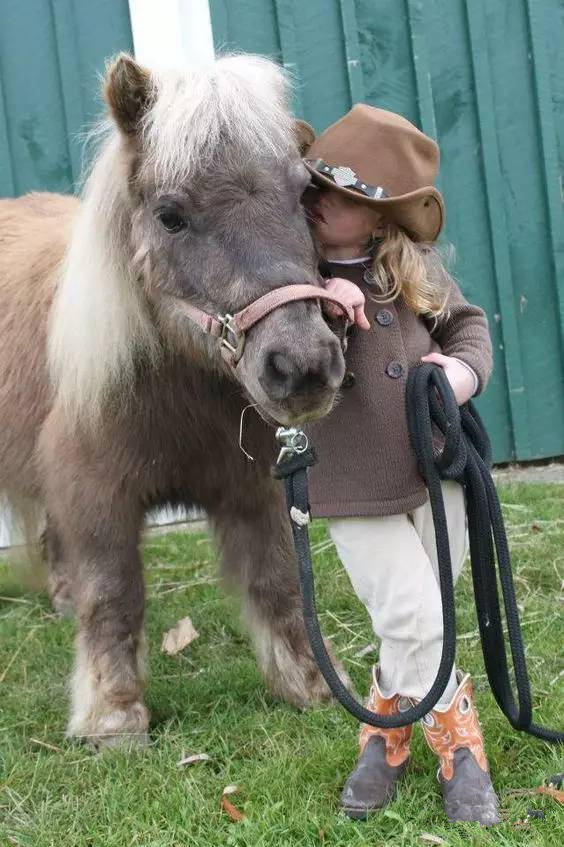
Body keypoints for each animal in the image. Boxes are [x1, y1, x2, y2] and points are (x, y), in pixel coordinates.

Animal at [0, 53, 353, 747]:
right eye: (170, 215)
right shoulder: (95, 495)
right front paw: (113, 717)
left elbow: (277, 583)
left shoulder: (253, 489)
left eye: (303, 196)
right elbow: (114, 594)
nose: (302, 365)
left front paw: (311, 684)